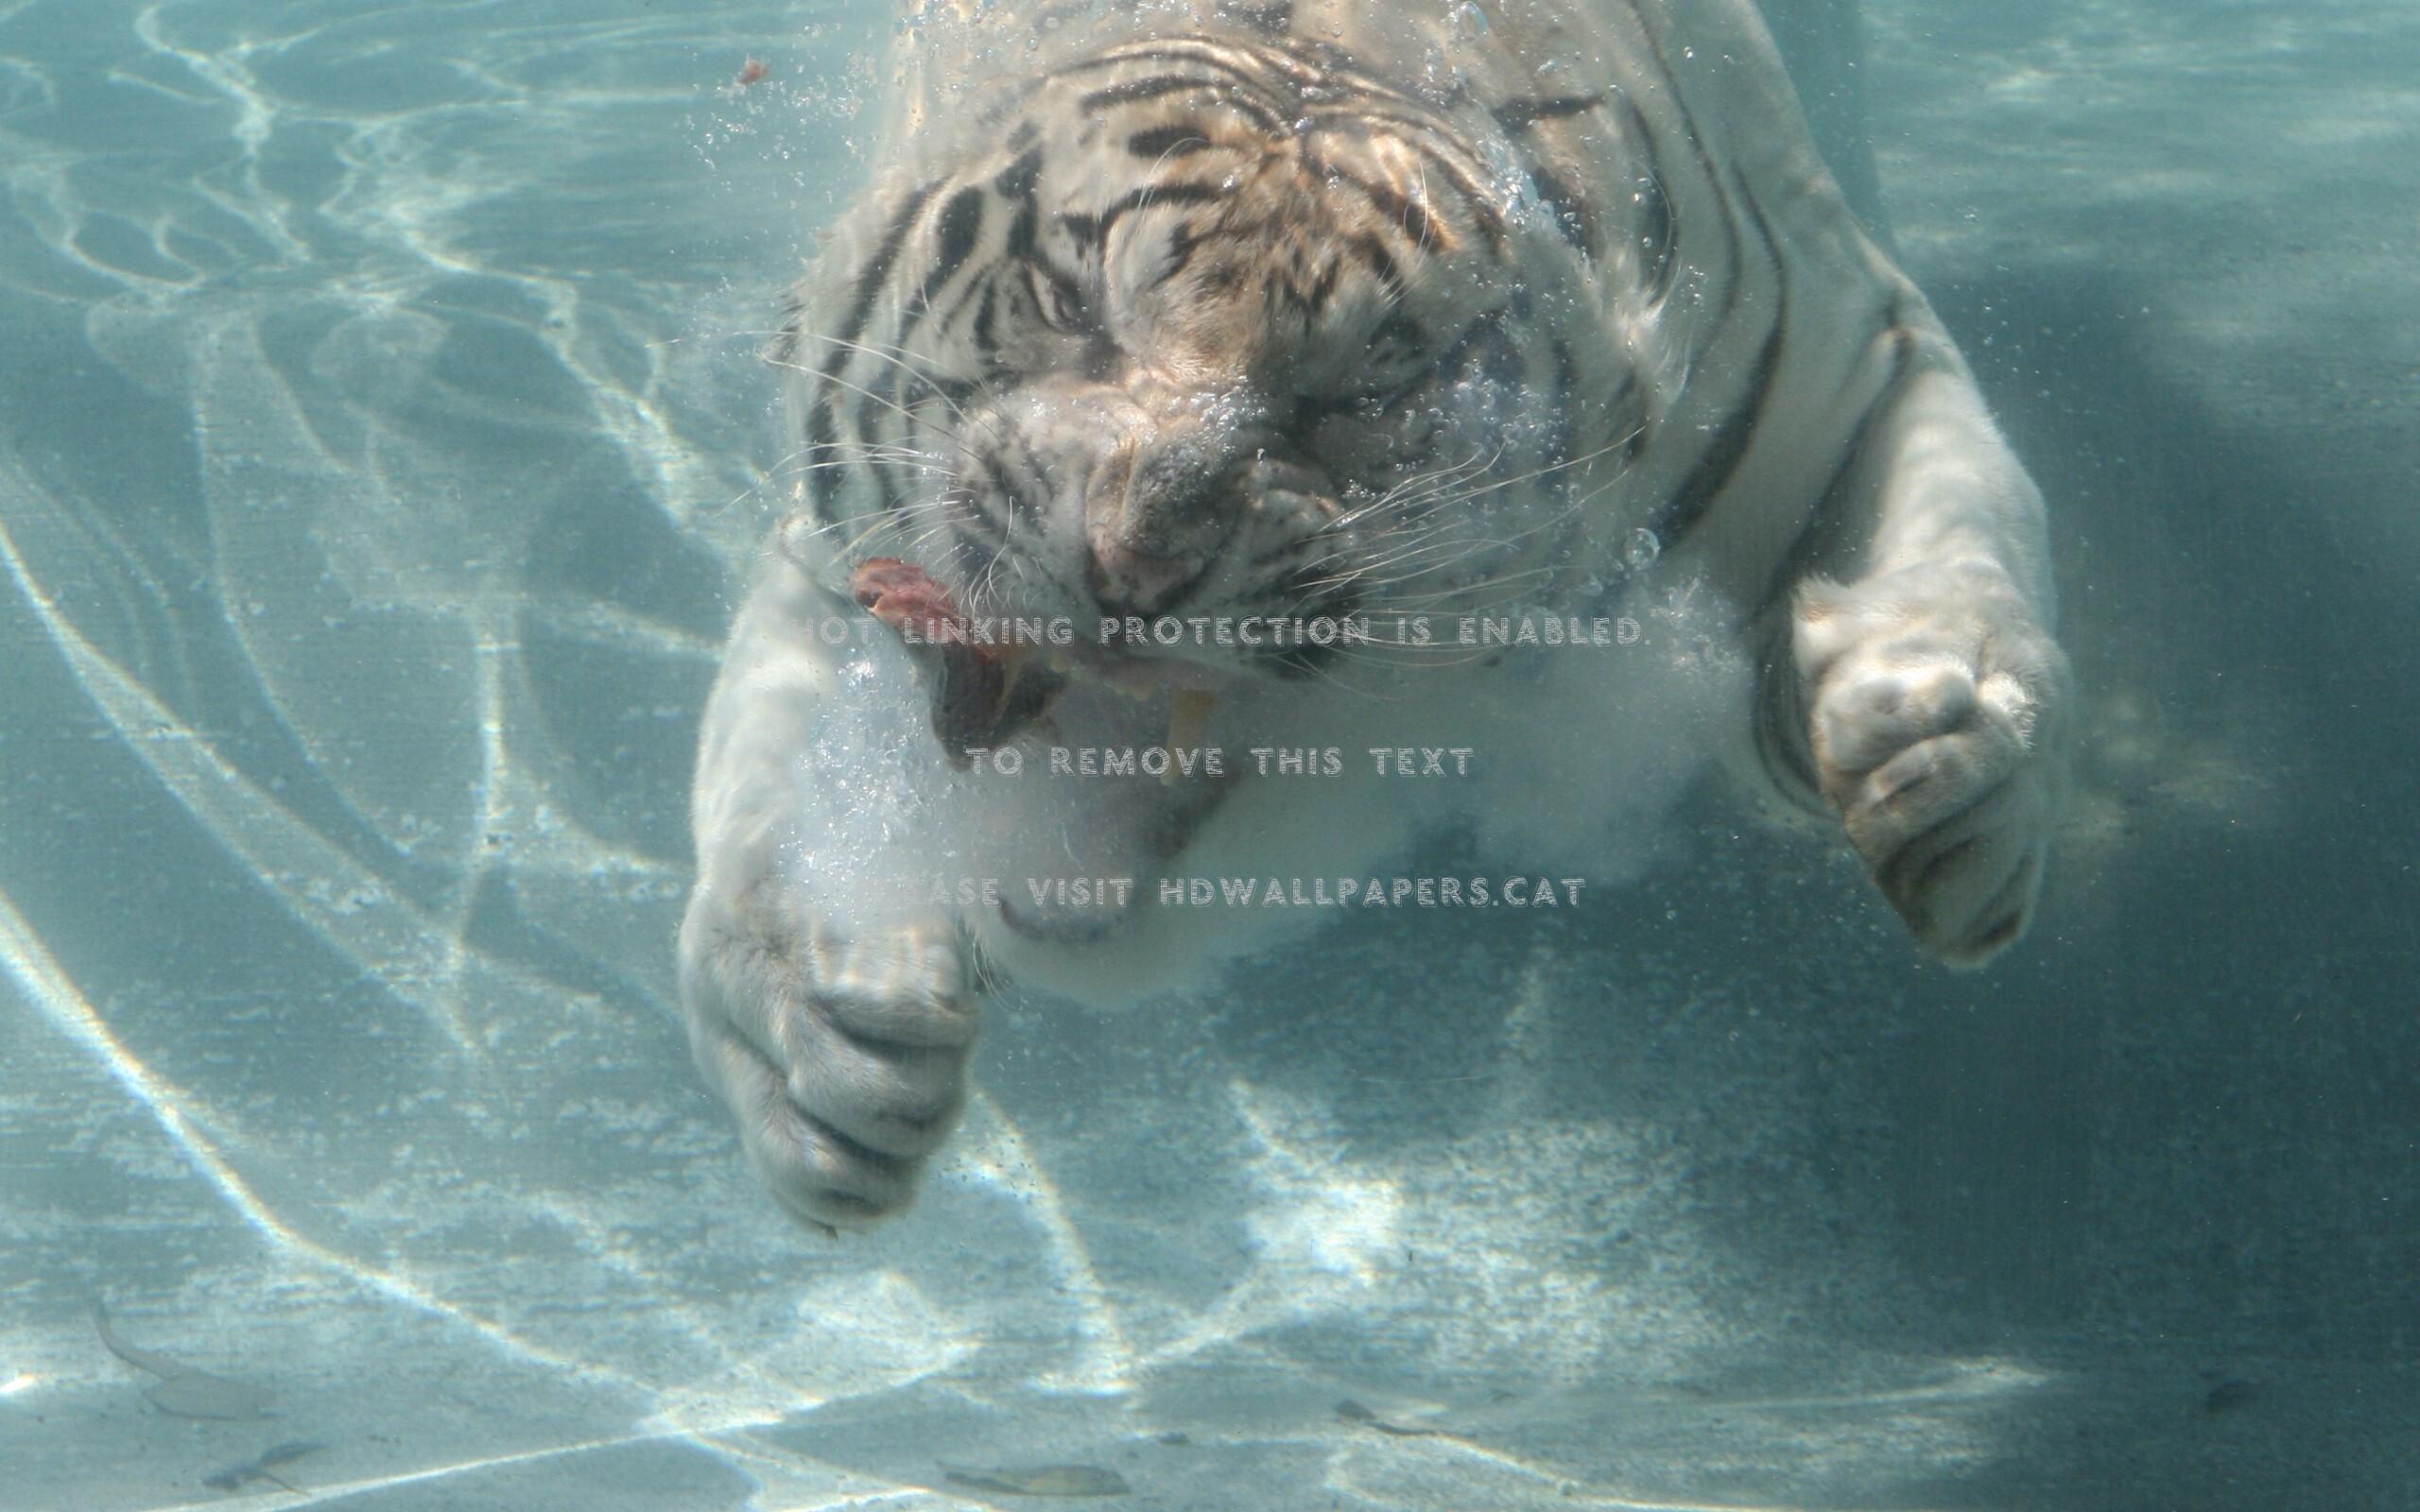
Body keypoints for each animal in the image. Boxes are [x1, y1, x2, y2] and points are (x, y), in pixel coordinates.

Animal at [680, 0, 2072, 1230]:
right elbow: (753, 800)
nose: (1135, 555)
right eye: (1076, 303)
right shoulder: (831, 559)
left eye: (1356, 397)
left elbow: (1971, 534)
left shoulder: (1844, 348)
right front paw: (819, 1033)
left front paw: (1942, 745)